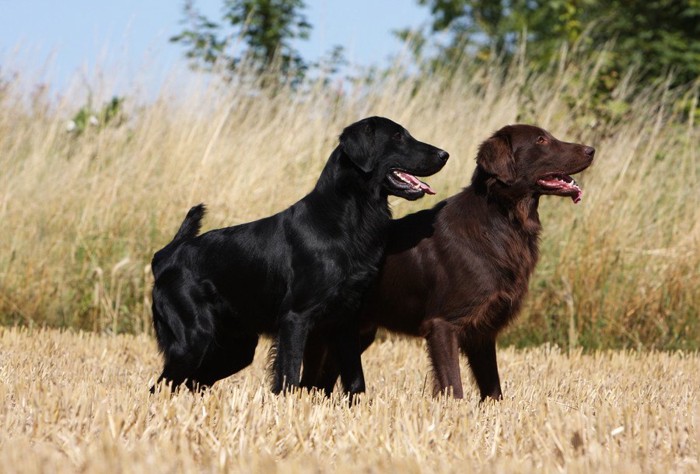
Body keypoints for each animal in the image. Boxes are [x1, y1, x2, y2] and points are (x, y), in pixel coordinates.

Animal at [152, 116, 448, 394]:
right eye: (397, 136)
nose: (444, 154)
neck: (348, 218)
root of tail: (166, 255)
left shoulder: (346, 321)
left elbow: (355, 382)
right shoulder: (295, 318)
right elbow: (289, 378)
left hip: (236, 347)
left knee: (191, 383)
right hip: (193, 340)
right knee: (161, 386)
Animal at [302, 123, 596, 400]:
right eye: (541, 140)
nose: (591, 150)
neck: (502, 219)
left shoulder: (482, 332)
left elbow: (493, 390)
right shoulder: (443, 324)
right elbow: (454, 387)